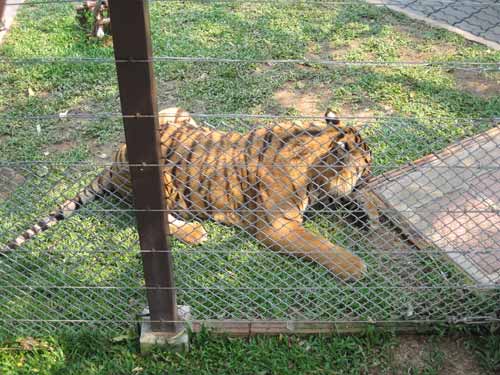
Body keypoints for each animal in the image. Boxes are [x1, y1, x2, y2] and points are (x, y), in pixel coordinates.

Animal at [2, 107, 372, 280]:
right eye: (367, 164)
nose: (369, 175)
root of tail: (113, 159)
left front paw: (365, 213)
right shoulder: (276, 226)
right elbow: (318, 245)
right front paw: (355, 266)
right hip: (159, 178)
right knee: (157, 220)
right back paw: (194, 232)